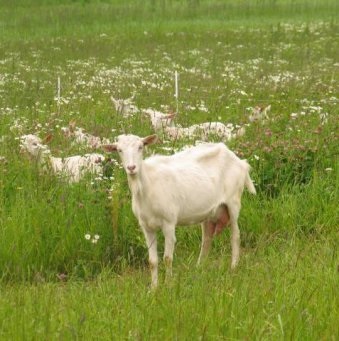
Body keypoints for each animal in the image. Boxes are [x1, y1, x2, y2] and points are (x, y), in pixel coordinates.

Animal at [102, 133, 256, 286]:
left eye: (140, 147)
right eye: (119, 150)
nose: (131, 167)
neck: (147, 185)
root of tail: (240, 162)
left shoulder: (169, 222)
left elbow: (167, 258)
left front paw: (169, 285)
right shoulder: (146, 226)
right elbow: (152, 261)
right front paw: (154, 287)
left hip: (233, 201)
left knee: (235, 236)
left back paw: (233, 267)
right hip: (209, 211)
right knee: (206, 239)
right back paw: (199, 269)